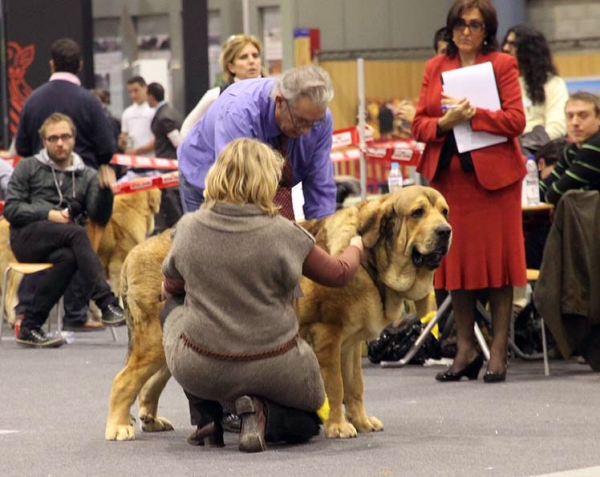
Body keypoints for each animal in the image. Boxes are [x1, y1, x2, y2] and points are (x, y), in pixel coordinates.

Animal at [105, 188, 450, 440]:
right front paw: (339, 427)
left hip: (166, 348)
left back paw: (151, 420)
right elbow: (336, 386)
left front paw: (362, 421)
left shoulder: (351, 345)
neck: (371, 259)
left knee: (150, 384)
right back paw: (119, 427)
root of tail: (134, 253)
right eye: (417, 213)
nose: (445, 231)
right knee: (124, 381)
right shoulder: (329, 336)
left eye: (444, 211)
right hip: (152, 341)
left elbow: (355, 387)